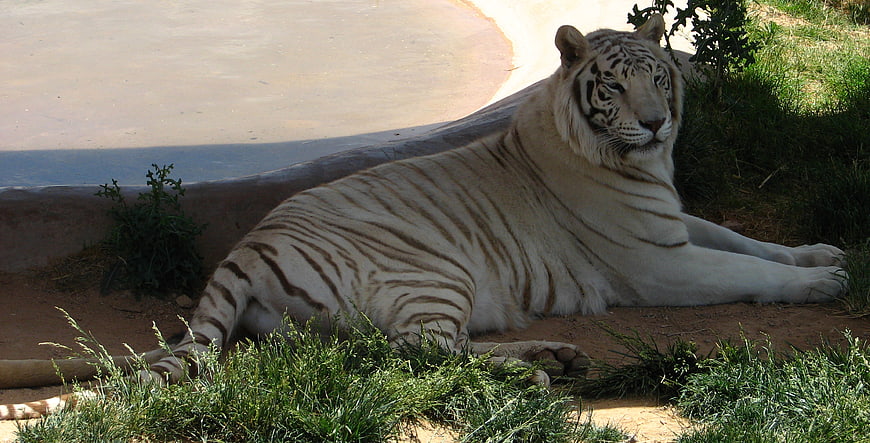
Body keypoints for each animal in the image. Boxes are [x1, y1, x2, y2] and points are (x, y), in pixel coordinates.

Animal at [0, 14, 847, 420]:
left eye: (660, 77)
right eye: (613, 84)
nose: (655, 123)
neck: (638, 164)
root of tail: (246, 244)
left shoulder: (676, 222)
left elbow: (750, 240)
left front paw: (823, 252)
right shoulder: (658, 260)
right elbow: (742, 270)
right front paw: (824, 285)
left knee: (417, 350)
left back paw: (553, 356)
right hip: (433, 273)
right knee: (421, 355)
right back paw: (538, 367)